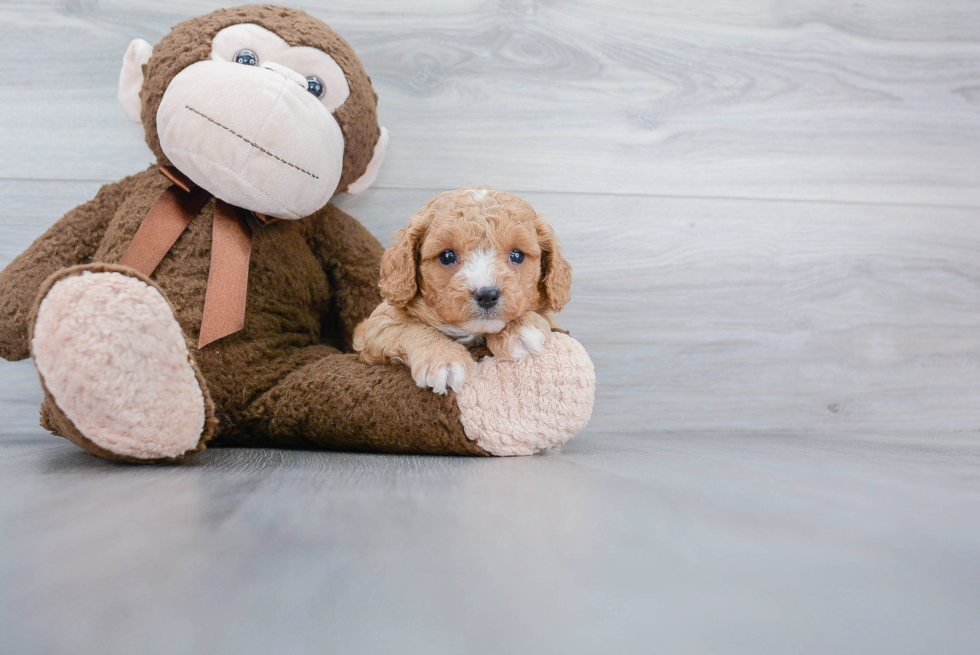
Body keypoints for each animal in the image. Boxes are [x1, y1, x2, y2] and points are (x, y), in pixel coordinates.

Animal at [352, 187, 572, 398]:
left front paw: (521, 327)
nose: (487, 295)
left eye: (516, 255)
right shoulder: (374, 326)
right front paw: (444, 359)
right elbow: (409, 327)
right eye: (447, 256)